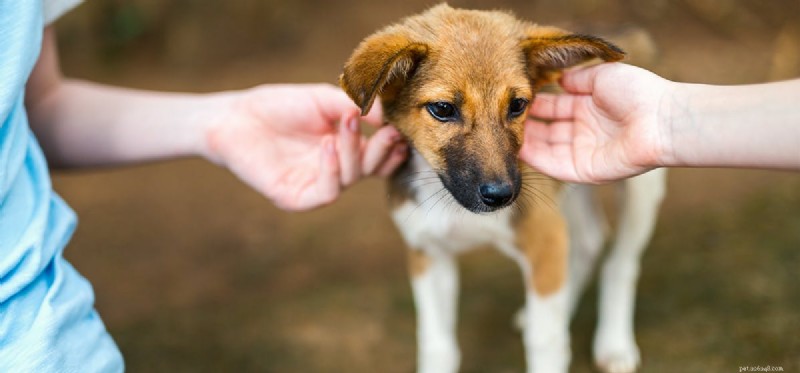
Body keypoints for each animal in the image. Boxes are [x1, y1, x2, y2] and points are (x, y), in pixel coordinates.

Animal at [340, 3, 664, 372]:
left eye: (518, 105)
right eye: (443, 109)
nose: (501, 196)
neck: (455, 206)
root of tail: (624, 27)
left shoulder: (542, 236)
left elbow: (545, 342)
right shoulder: (429, 253)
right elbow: (438, 347)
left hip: (641, 189)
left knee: (620, 262)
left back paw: (614, 343)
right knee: (588, 242)